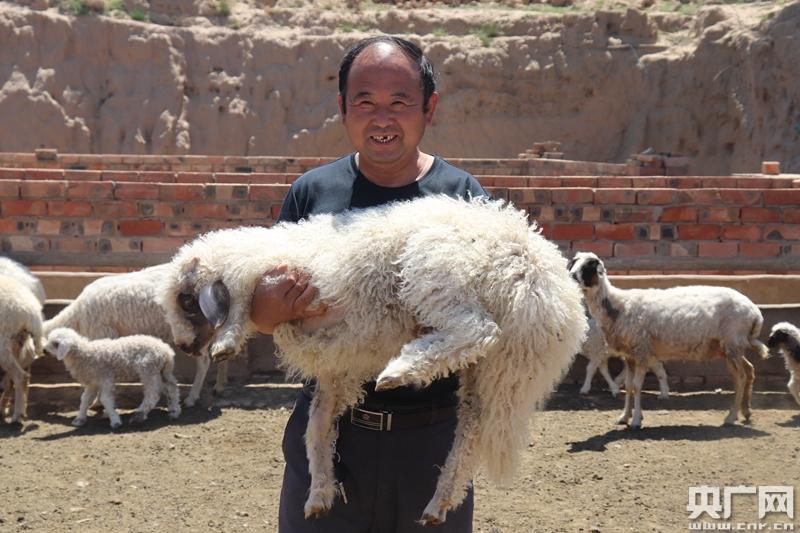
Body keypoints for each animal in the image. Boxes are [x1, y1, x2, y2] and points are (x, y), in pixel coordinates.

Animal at [44, 326, 182, 430]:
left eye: (56, 344)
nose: (44, 351)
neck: (84, 355)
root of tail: (167, 352)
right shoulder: (93, 382)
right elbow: (85, 400)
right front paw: (80, 418)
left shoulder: (106, 379)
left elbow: (105, 399)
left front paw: (115, 420)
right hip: (162, 371)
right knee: (172, 388)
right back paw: (174, 411)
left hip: (148, 369)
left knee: (153, 395)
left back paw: (139, 415)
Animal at [45, 262, 228, 408]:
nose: (45, 352)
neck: (76, 315)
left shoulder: (104, 334)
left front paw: (97, 402)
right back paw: (219, 387)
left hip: (195, 332)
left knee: (203, 362)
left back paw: (192, 397)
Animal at [159, 195, 588, 524]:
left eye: (187, 301)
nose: (185, 347)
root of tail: (536, 266)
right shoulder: (338, 365)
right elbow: (317, 428)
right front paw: (320, 493)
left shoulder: (281, 283)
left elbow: (241, 298)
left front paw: (227, 340)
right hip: (494, 369)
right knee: (471, 429)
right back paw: (438, 502)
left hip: (436, 271)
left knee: (478, 330)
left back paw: (400, 371)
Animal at [568, 251, 768, 430]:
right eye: (573, 262)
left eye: (589, 266)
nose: (571, 276)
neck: (618, 305)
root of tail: (754, 311)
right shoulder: (630, 355)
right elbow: (629, 386)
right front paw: (624, 416)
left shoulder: (641, 351)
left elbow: (636, 386)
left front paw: (636, 421)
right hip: (732, 347)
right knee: (749, 370)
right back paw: (746, 411)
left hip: (732, 343)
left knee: (740, 377)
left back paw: (731, 417)